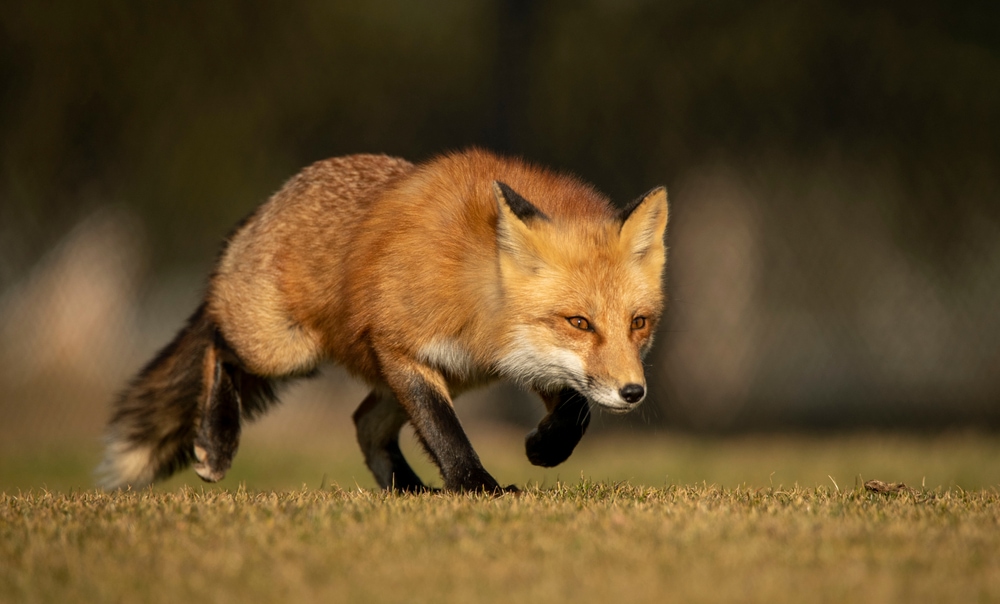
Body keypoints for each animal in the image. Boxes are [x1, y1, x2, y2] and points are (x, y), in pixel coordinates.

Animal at [98, 148, 668, 493]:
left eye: (638, 323)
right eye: (579, 322)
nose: (634, 393)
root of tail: (270, 203)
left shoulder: (524, 360)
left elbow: (576, 411)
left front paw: (544, 446)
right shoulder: (401, 349)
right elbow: (444, 431)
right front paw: (475, 486)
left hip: (449, 377)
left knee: (364, 423)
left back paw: (408, 493)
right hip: (283, 349)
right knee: (217, 344)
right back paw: (217, 438)